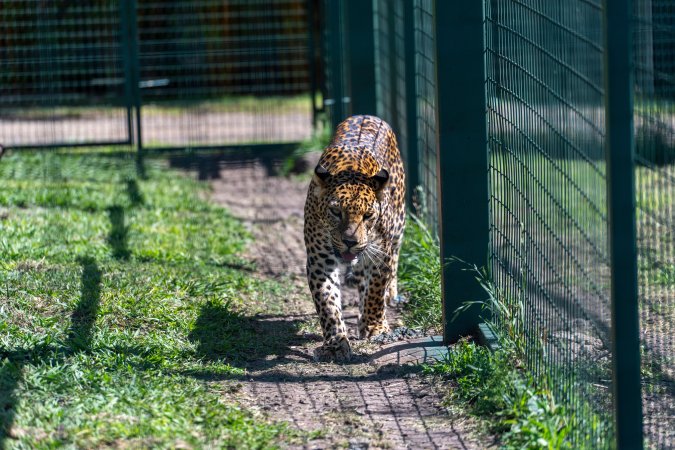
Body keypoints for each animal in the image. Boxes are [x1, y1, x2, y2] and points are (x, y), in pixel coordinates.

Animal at [304, 115, 405, 361]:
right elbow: (327, 302)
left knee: (394, 260)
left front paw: (375, 327)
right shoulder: (320, 261)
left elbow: (375, 290)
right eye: (335, 211)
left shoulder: (380, 254)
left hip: (399, 225)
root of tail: (367, 116)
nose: (350, 242)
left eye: (368, 215)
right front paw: (336, 342)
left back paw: (391, 294)